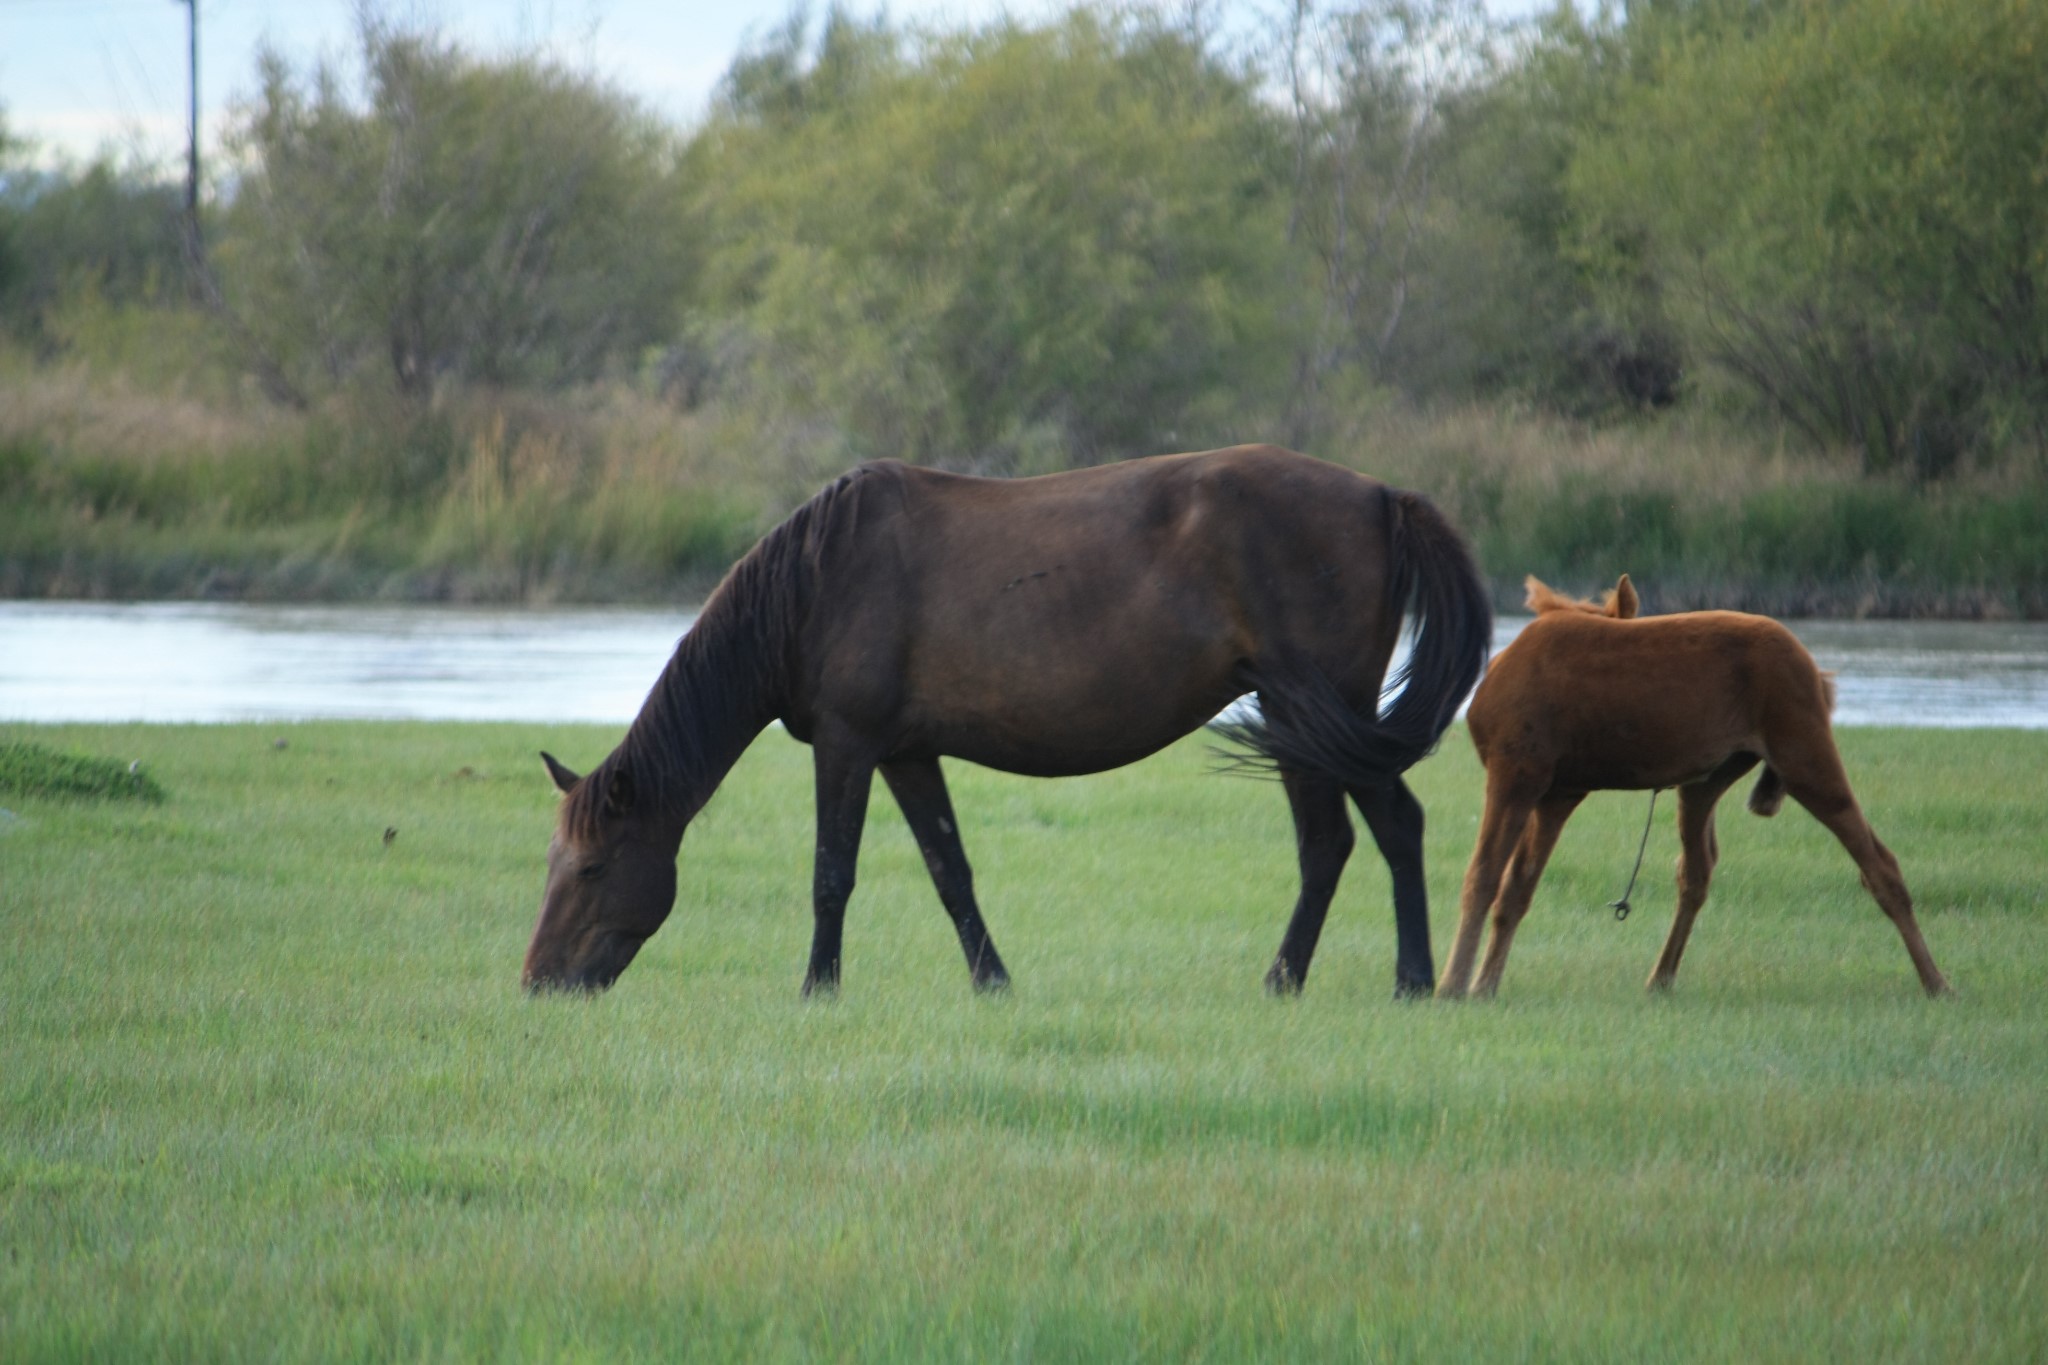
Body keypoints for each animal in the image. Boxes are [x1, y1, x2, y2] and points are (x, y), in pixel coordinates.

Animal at [524, 444, 1490, 998]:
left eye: (594, 865)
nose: (538, 981)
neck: (814, 584)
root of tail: (1383, 496)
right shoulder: (907, 752)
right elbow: (950, 870)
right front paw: (993, 981)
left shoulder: (846, 743)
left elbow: (832, 872)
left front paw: (817, 987)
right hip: (1313, 722)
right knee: (1362, 835)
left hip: (1316, 713)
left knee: (1363, 833)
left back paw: (1374, 979)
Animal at [1433, 573, 1941, 998]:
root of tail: (1818, 674)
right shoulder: (1557, 792)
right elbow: (1518, 888)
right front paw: (1484, 984)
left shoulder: (1516, 772)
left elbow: (1482, 875)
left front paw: (1453, 985)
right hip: (1705, 783)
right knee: (1697, 872)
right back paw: (1660, 976)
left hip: (1804, 756)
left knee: (1879, 862)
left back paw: (1937, 982)